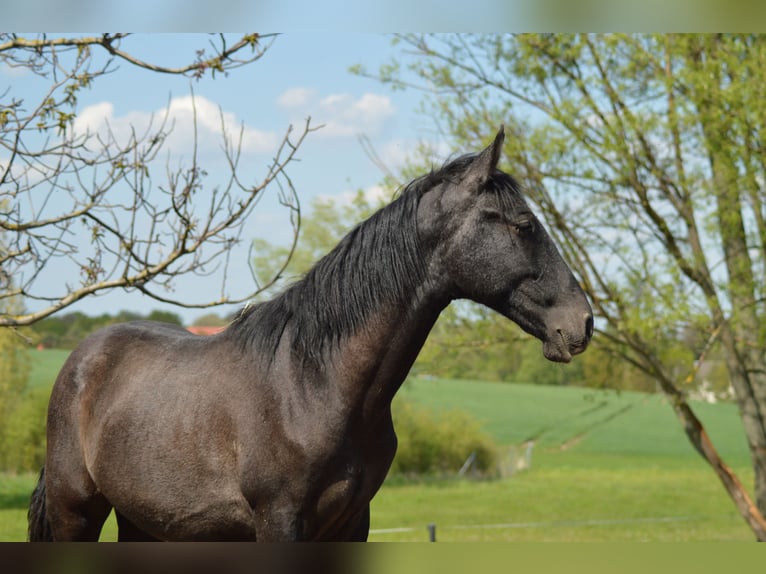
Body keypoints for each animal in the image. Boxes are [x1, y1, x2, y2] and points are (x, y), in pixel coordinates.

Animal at [28, 128, 592, 544]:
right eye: (523, 224)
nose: (582, 323)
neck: (315, 383)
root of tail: (82, 360)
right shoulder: (280, 523)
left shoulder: (353, 523)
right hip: (77, 512)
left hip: (146, 522)